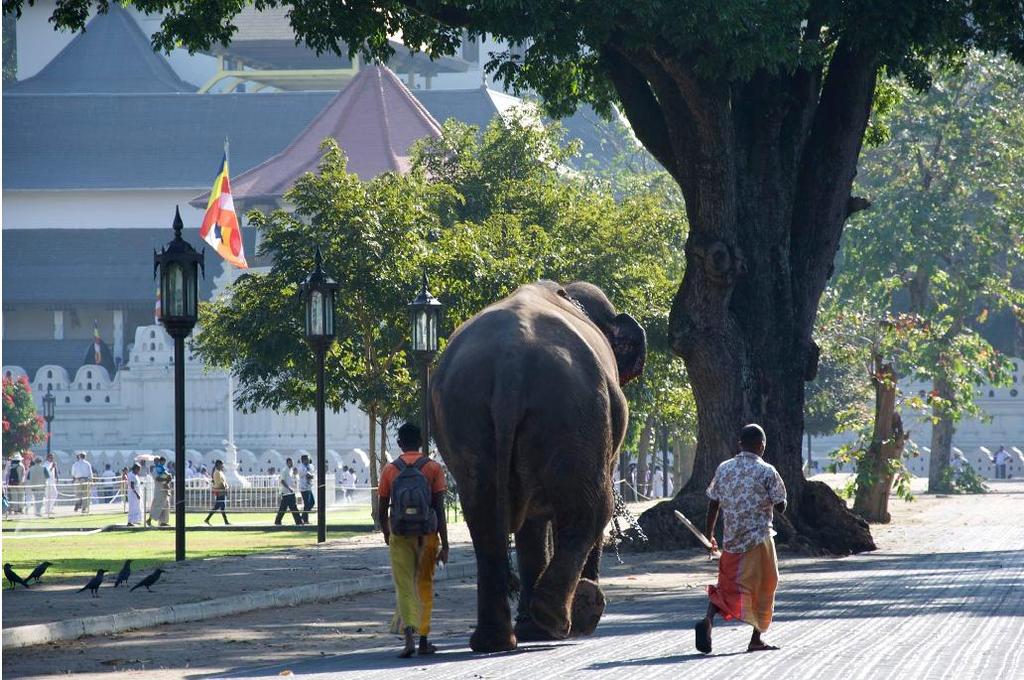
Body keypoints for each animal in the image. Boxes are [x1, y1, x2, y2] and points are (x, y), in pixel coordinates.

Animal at [428, 278, 643, 651]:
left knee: (483, 516)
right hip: (573, 411)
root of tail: (510, 365)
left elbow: (531, 522)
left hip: (467, 413)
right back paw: (560, 620)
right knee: (589, 508)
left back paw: (497, 640)